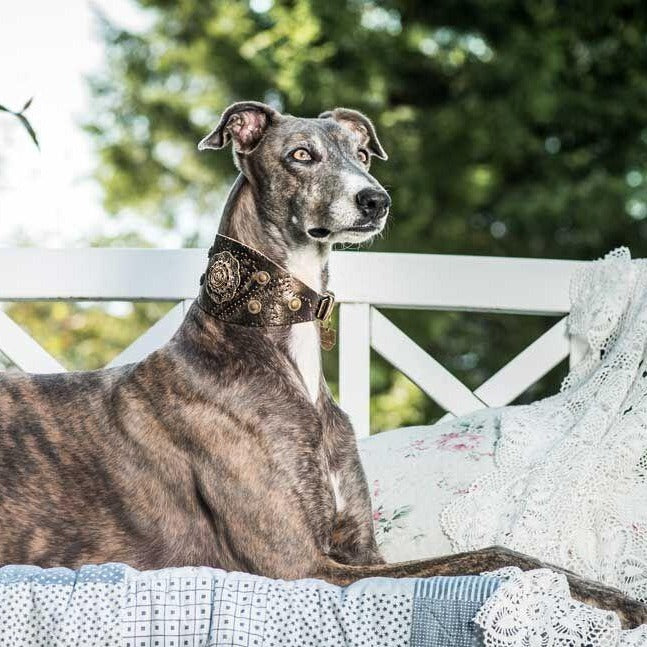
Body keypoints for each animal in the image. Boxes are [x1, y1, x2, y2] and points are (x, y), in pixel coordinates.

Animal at [0, 101, 644, 628]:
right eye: (301, 155)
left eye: (360, 154)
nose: (376, 200)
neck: (274, 347)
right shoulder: (303, 565)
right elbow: (495, 554)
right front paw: (615, 602)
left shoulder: (361, 550)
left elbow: (503, 555)